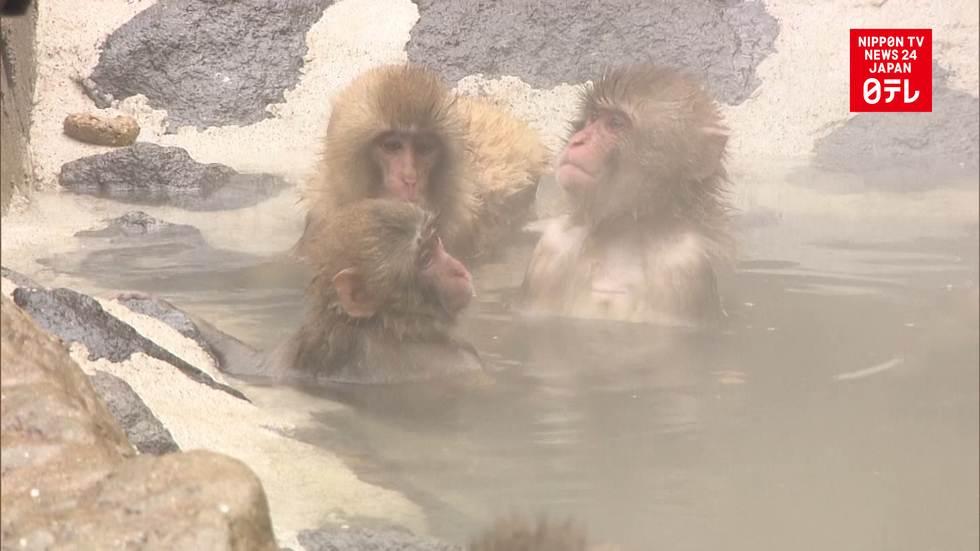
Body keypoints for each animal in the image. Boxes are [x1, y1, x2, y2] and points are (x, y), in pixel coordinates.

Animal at [520, 65, 733, 325]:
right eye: (594, 118)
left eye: (616, 123)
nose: (578, 141)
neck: (620, 232)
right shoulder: (551, 249)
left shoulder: (686, 265)